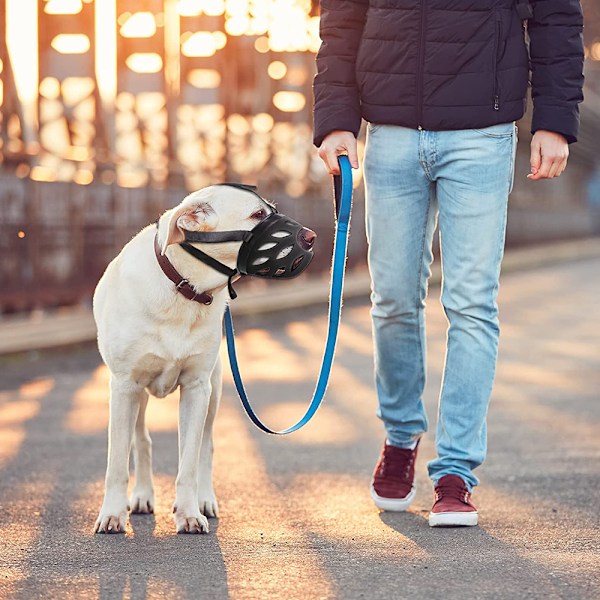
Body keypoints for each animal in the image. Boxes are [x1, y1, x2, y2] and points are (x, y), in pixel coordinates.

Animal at [92, 185, 276, 532]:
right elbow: (116, 463)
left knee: (206, 446)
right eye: (257, 214)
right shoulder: (123, 387)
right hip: (137, 395)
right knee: (142, 441)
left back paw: (204, 499)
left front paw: (189, 512)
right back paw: (142, 496)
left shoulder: (196, 388)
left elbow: (189, 461)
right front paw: (112, 513)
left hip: (213, 391)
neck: (184, 289)